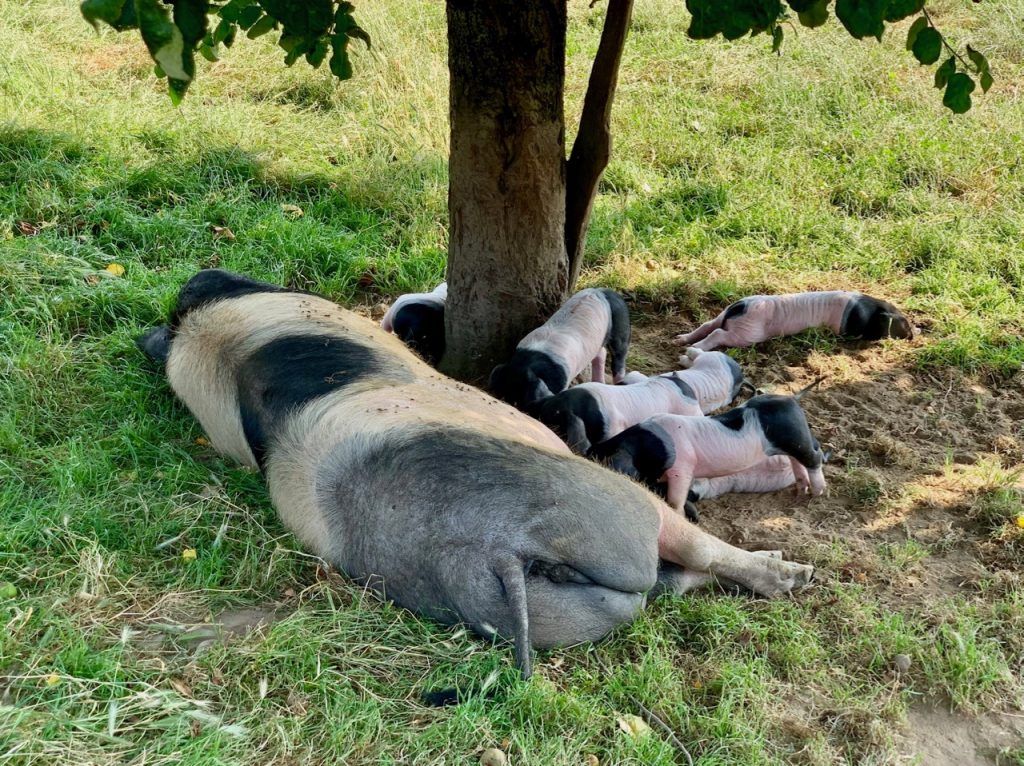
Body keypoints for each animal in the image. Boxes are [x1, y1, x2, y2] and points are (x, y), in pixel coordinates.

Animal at [589, 395, 827, 514]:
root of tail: (791, 401)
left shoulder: (683, 467)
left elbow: (676, 498)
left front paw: (678, 514)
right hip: (789, 445)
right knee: (798, 462)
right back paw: (801, 490)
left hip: (795, 438)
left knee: (813, 458)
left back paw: (817, 493)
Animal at [671, 290, 913, 352]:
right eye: (904, 324)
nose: (914, 333)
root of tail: (738, 307)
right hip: (747, 333)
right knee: (717, 334)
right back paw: (692, 347)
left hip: (722, 316)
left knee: (707, 325)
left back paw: (678, 340)